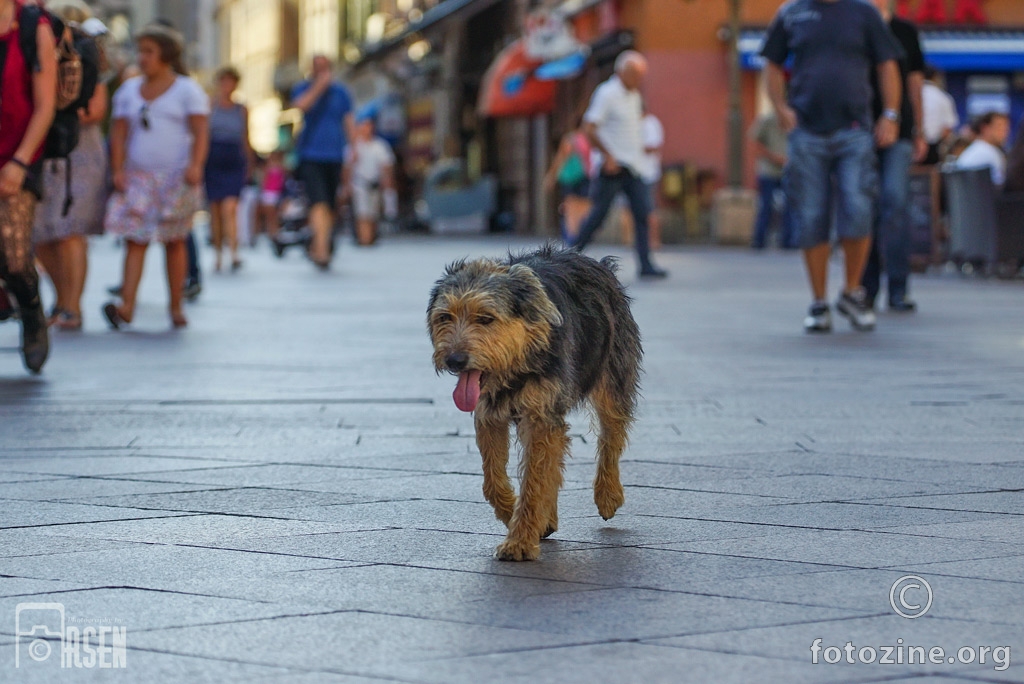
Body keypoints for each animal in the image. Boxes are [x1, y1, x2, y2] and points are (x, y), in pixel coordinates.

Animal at [425, 245, 638, 561]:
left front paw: (520, 541)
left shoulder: (542, 417)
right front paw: (515, 514)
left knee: (610, 438)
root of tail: (600, 264)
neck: (518, 362)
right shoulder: (489, 415)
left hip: (613, 377)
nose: (454, 360)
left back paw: (608, 495)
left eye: (485, 318)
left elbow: (535, 482)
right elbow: (493, 480)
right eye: (444, 317)